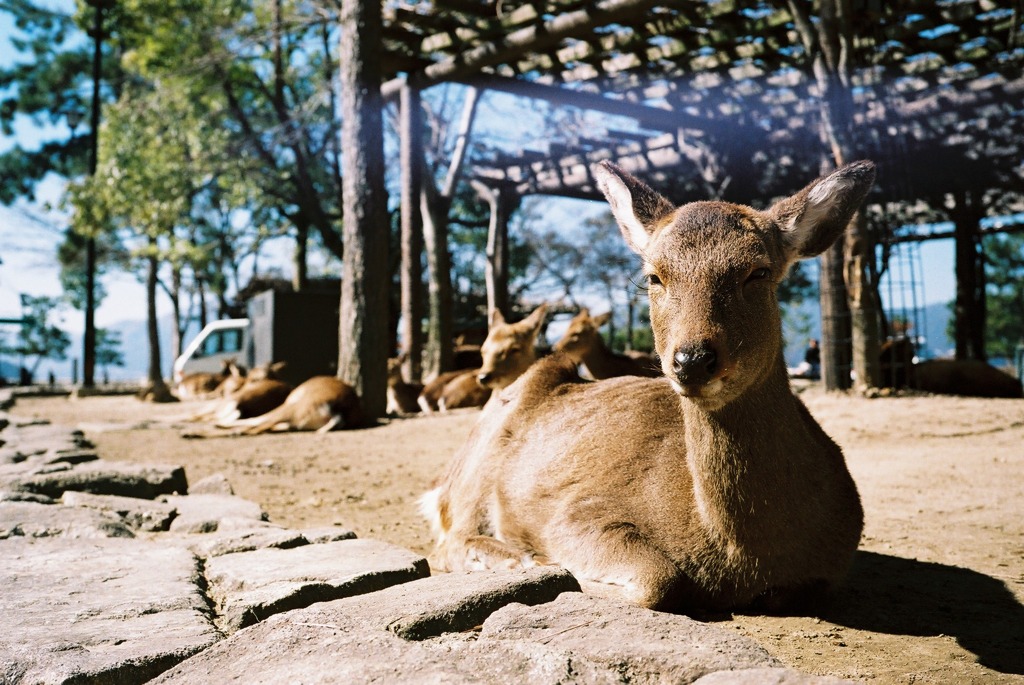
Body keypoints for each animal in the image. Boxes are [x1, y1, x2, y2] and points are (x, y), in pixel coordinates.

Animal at [419, 161, 876, 614]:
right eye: (654, 276)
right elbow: (658, 580)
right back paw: (518, 557)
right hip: (476, 474)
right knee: (445, 544)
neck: (744, 557)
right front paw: (553, 564)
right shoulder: (575, 511)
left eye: (759, 271)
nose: (692, 360)